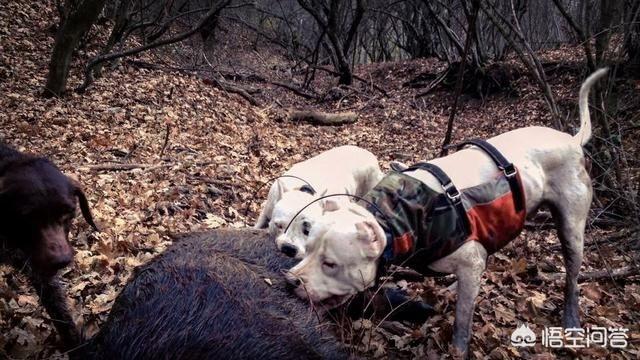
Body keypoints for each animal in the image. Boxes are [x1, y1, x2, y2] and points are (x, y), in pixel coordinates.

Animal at [252, 145, 382, 260]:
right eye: (278, 225)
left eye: (308, 231)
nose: (289, 248)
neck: (304, 191)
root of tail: (369, 154)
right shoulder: (267, 208)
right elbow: (259, 223)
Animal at [288, 69, 608, 354]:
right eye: (307, 248)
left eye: (331, 264)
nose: (290, 280)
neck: (397, 219)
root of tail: (571, 140)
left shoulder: (469, 261)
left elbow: (462, 324)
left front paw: (458, 349)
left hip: (571, 227)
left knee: (571, 277)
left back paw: (571, 319)